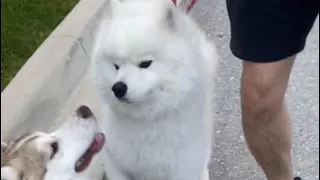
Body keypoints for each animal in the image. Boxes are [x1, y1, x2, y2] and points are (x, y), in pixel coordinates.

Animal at [91, 0, 219, 179]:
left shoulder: (181, 167)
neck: (147, 119)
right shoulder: (117, 163)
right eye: (116, 66)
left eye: (145, 63)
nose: (118, 88)